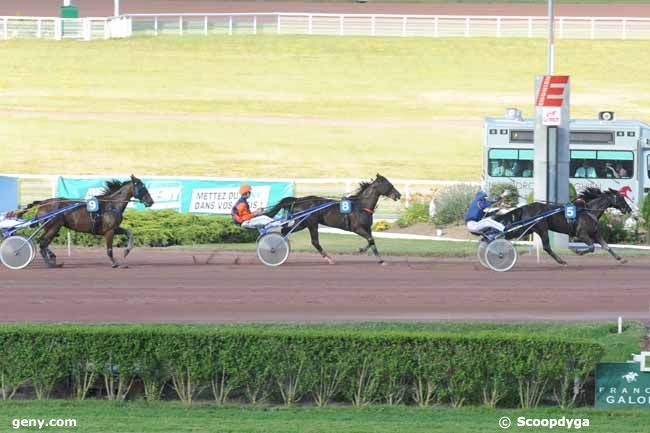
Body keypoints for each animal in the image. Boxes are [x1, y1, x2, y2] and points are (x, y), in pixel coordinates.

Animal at [16, 175, 153, 266]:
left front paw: (126, 251)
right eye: (142, 187)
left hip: (52, 227)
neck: (111, 204)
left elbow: (129, 232)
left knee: (44, 242)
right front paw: (115, 263)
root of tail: (42, 203)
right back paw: (50, 263)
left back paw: (52, 258)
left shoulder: (114, 228)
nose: (151, 201)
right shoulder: (109, 231)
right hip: (54, 226)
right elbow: (109, 249)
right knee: (43, 242)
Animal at [264, 173, 400, 264]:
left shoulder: (367, 228)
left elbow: (372, 241)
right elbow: (370, 239)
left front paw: (380, 259)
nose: (398, 195)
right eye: (388, 184)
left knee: (285, 230)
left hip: (302, 224)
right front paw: (360, 250)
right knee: (313, 241)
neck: (361, 206)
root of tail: (298, 200)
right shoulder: (357, 228)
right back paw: (328, 258)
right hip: (310, 224)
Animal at [494, 186, 632, 264]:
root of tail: (525, 207)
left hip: (529, 229)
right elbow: (592, 247)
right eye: (621, 198)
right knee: (546, 247)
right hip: (542, 229)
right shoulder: (581, 234)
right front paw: (577, 251)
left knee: (512, 236)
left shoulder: (595, 233)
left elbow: (606, 246)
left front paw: (621, 259)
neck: (588, 211)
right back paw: (561, 261)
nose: (629, 209)